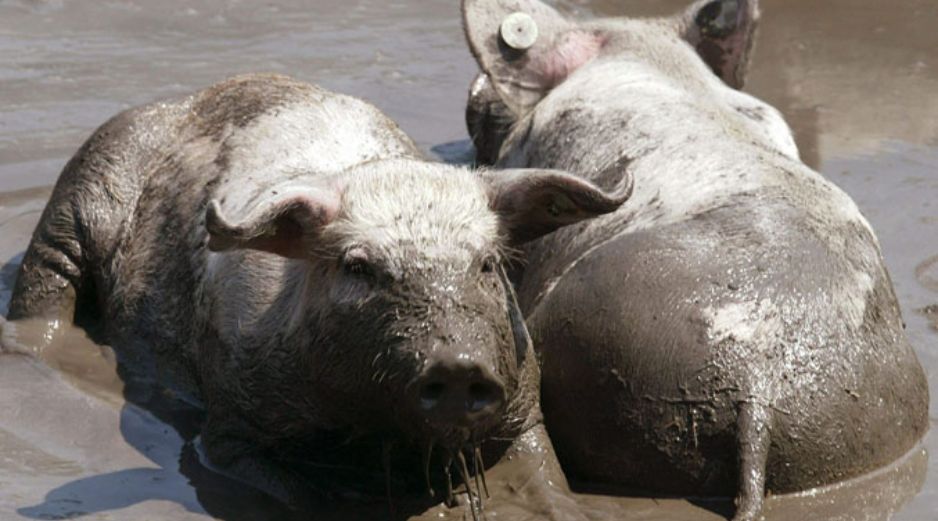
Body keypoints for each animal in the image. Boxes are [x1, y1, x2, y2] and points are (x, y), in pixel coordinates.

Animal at [1, 72, 628, 512]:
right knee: (44, 287)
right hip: (80, 193)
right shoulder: (228, 421)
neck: (370, 424)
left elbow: (546, 475)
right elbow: (272, 481)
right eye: (358, 267)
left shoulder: (522, 395)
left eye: (488, 263)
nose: (457, 365)